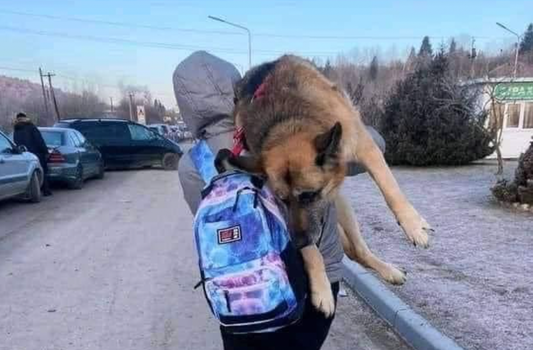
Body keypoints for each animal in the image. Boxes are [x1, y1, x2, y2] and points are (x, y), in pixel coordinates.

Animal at [214, 54, 430, 318]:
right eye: (282, 200)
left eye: (310, 195)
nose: (296, 243)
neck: (288, 122)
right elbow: (311, 252)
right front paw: (321, 288)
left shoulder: (366, 148)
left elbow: (390, 188)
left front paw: (413, 225)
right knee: (355, 252)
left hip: (345, 209)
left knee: (360, 250)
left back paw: (389, 270)